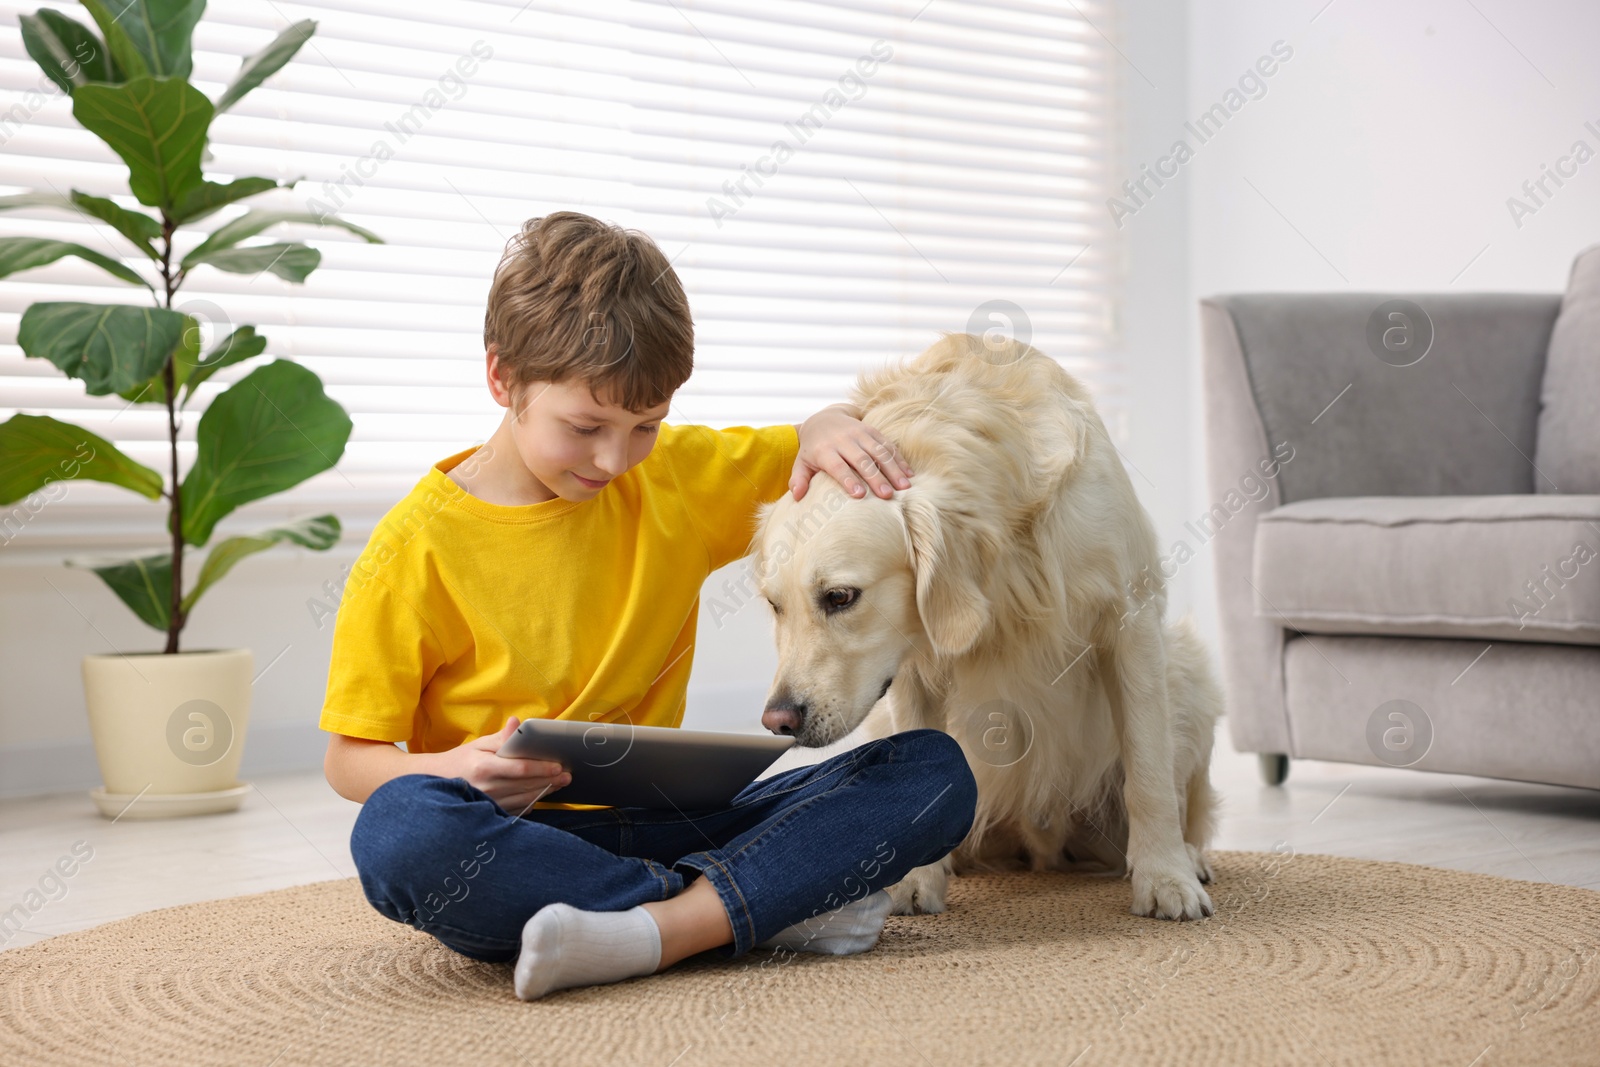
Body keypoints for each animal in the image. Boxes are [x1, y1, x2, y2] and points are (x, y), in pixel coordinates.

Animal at [755, 335, 1216, 927]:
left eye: (840, 597)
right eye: (774, 606)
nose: (778, 721)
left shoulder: (1130, 621)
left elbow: (1149, 769)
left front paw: (1165, 879)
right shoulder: (908, 665)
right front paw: (914, 882)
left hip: (1189, 670)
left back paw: (1188, 858)